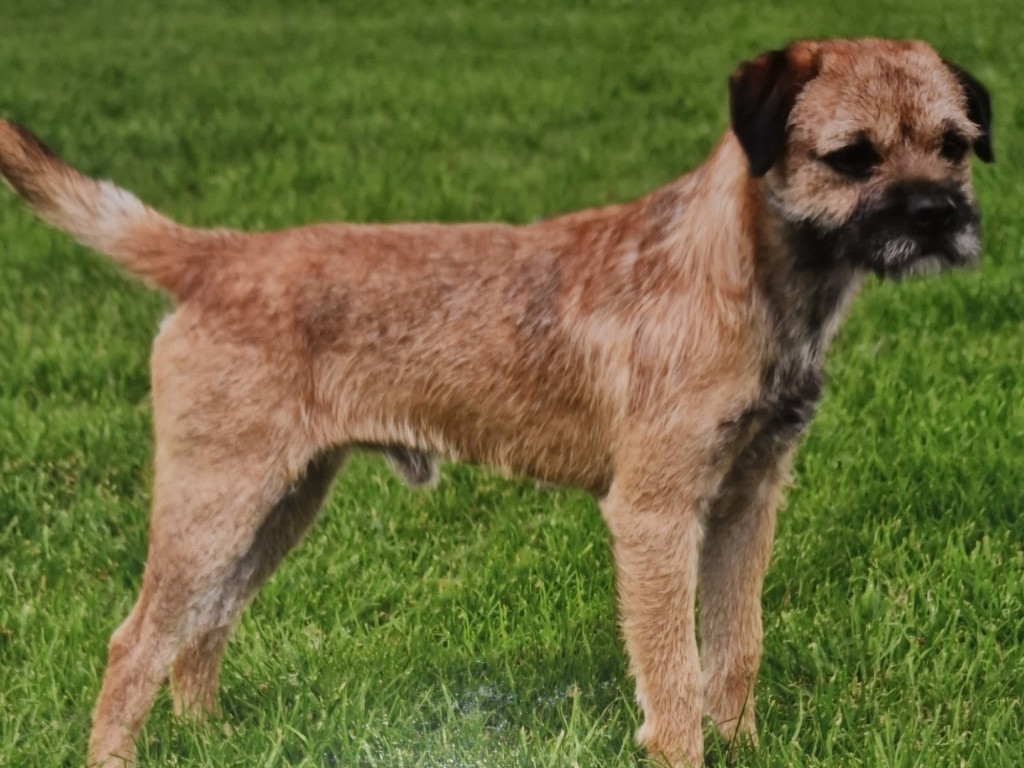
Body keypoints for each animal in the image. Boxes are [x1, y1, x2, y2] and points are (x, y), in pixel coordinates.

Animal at [0, 38, 992, 767]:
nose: (940, 216)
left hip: (277, 503)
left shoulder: (748, 501)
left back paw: (210, 738)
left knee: (203, 627)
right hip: (216, 500)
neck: (744, 276)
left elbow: (735, 647)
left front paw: (742, 745)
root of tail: (218, 256)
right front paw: (687, 748)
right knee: (137, 642)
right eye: (851, 157)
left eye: (953, 142)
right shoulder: (655, 514)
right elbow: (674, 672)